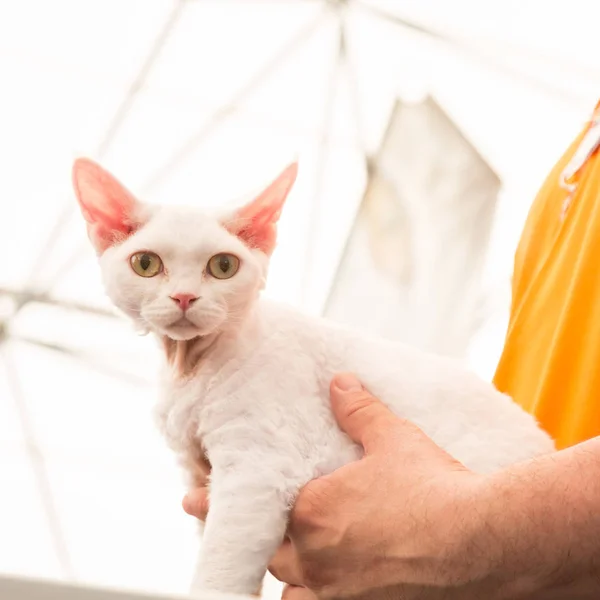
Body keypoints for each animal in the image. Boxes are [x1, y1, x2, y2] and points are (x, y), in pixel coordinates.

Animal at [72, 158, 556, 596]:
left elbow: (219, 576)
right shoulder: (197, 472)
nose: (185, 297)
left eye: (223, 266)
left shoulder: (256, 471)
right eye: (146, 264)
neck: (188, 366)